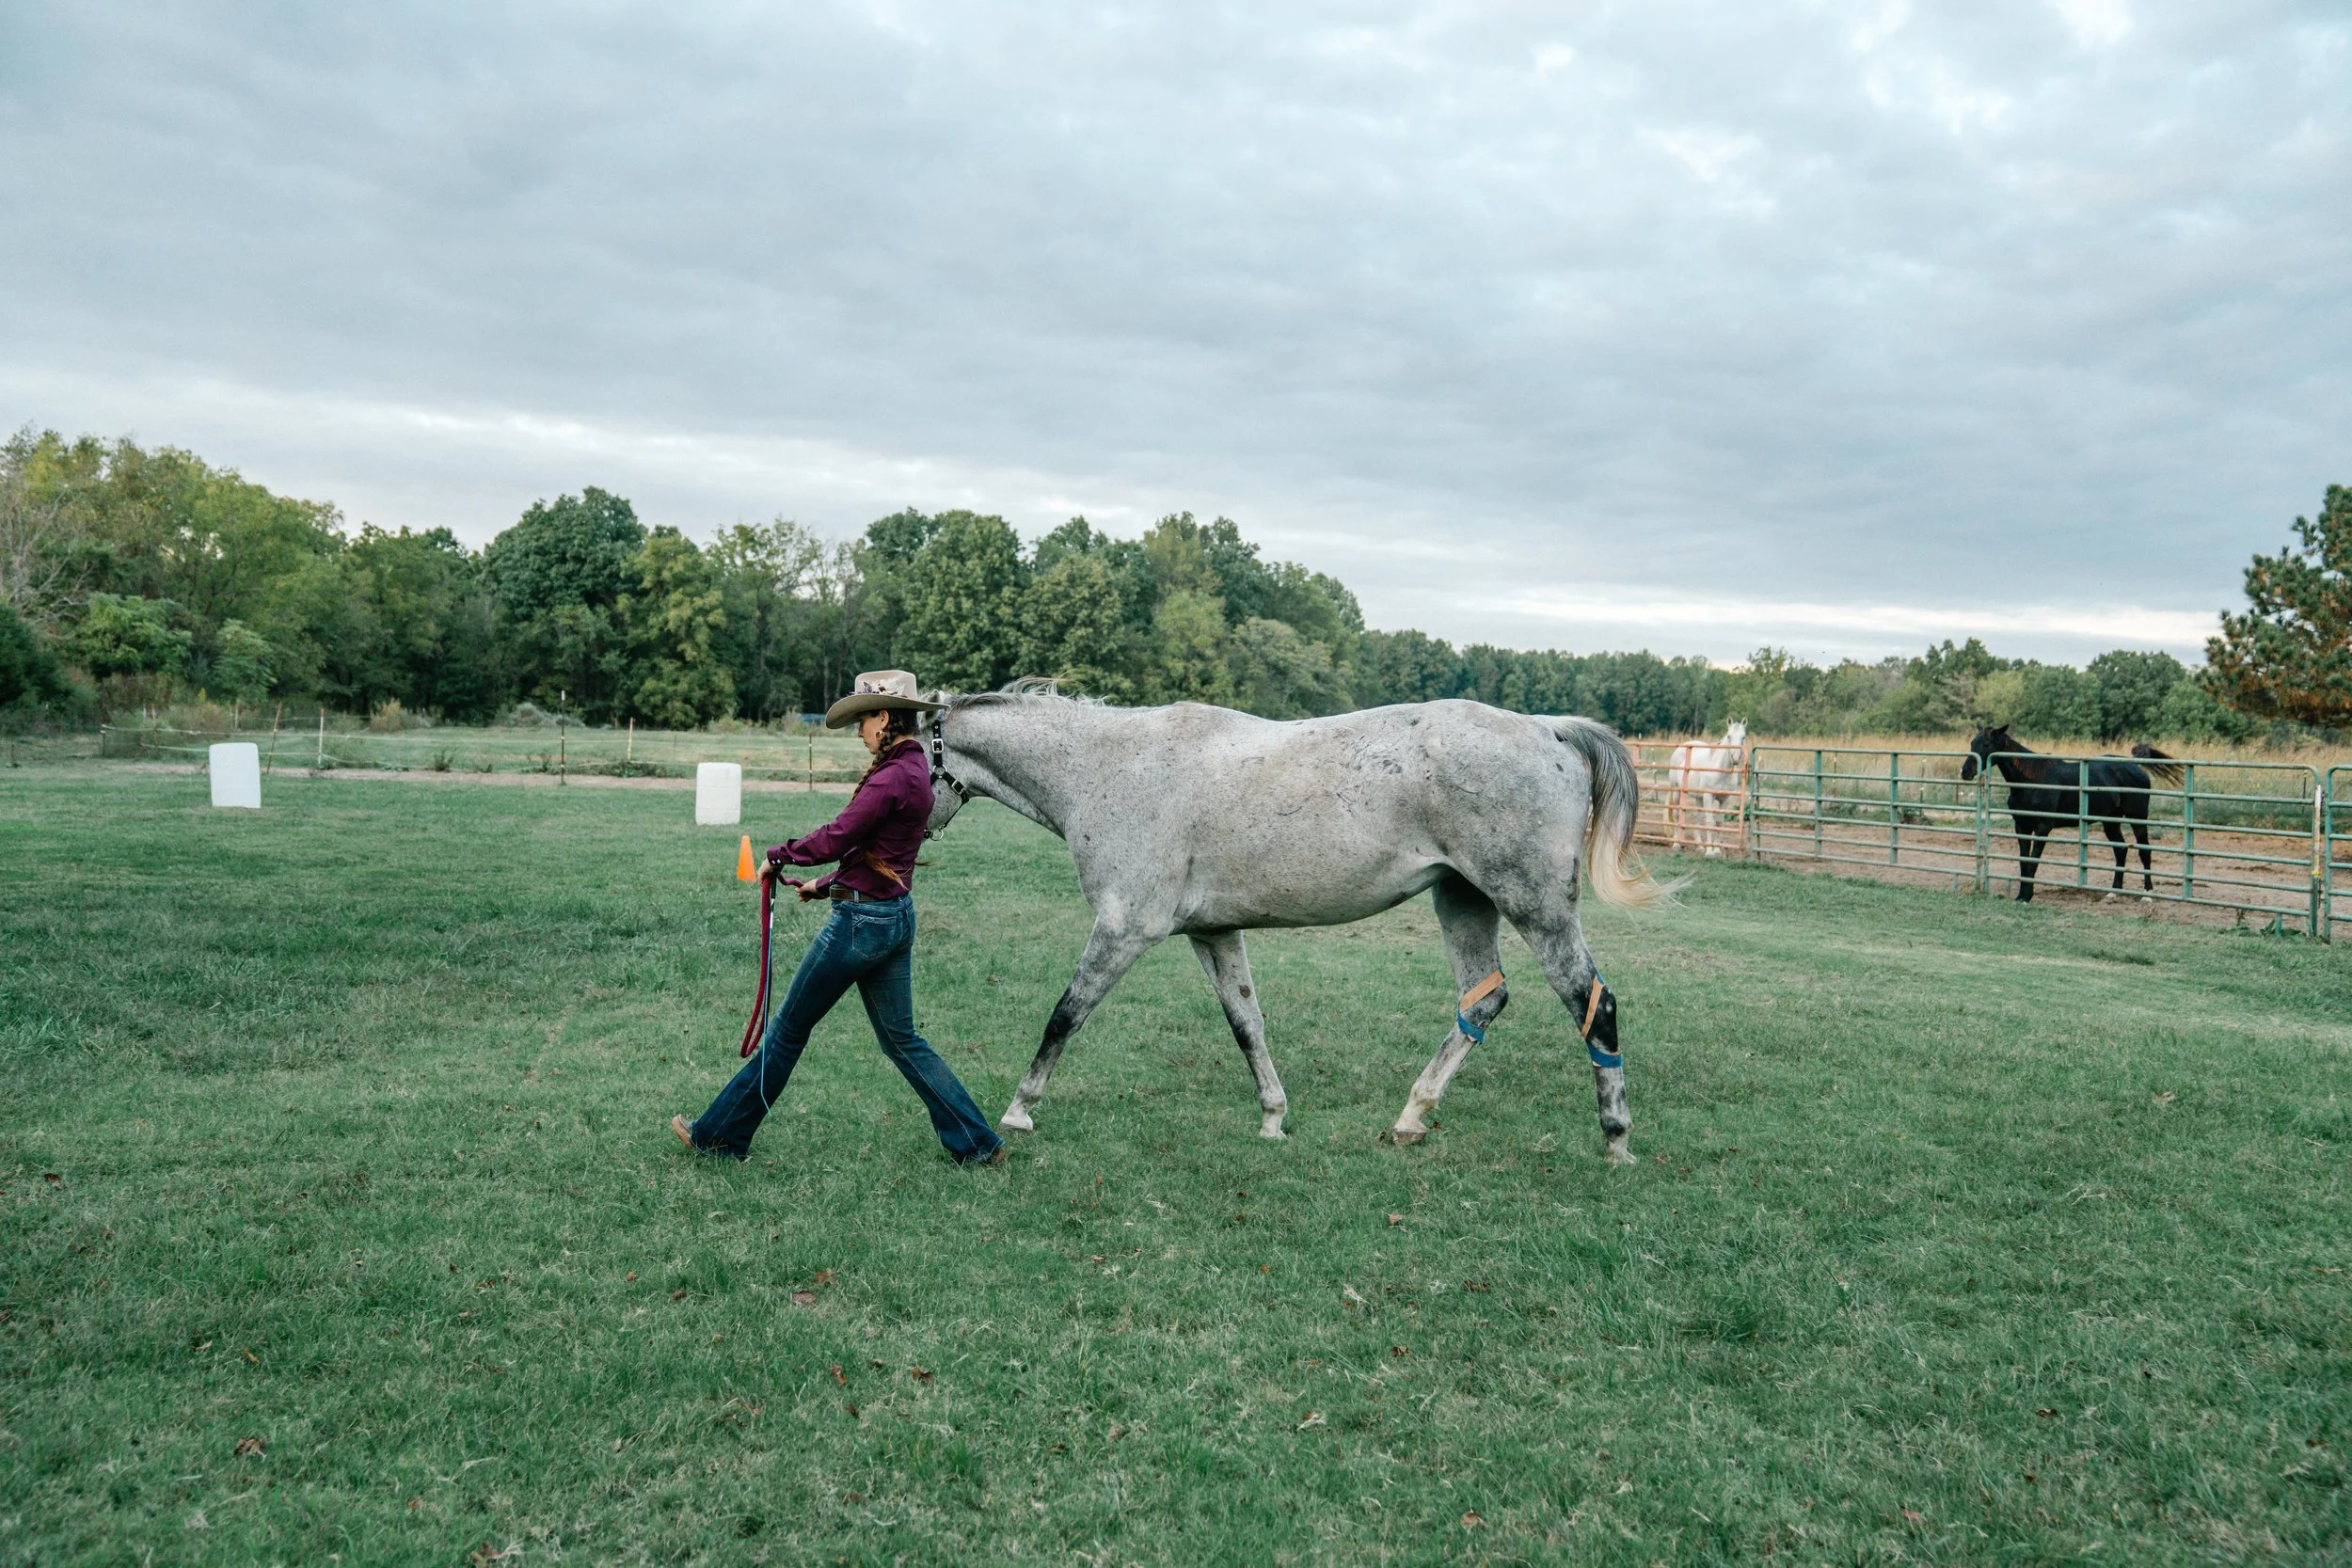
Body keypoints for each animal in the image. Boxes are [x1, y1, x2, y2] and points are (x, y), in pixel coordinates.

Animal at [919, 688, 1675, 1164]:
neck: (1112, 768)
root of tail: (1548, 728)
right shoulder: (1214, 932)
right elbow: (1246, 1025)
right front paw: (1273, 1117)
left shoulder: (1124, 928)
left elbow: (1065, 1015)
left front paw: (1019, 1109)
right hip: (1463, 901)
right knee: (1483, 1000)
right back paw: (1411, 1117)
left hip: (1535, 908)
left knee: (1594, 1003)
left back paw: (1616, 1137)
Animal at [1665, 719, 1747, 856]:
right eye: (1729, 736)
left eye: (1743, 737)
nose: (1735, 758)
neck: (1721, 771)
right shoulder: (1708, 796)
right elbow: (1709, 822)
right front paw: (1709, 852)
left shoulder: (1725, 799)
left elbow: (1719, 822)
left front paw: (1717, 850)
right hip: (1677, 791)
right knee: (1677, 814)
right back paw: (1677, 844)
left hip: (1698, 798)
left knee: (1697, 818)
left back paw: (1699, 846)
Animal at [1958, 726, 2183, 903]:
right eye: (1972, 742)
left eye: (1987, 744)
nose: (1966, 771)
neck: (2032, 780)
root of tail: (2134, 765)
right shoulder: (2022, 826)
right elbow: (2024, 861)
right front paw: (2021, 895)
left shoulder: (2042, 828)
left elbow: (2033, 861)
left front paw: (2027, 896)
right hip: (2110, 822)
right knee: (2120, 850)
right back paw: (2113, 893)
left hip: (2138, 818)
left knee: (2144, 851)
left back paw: (2148, 894)